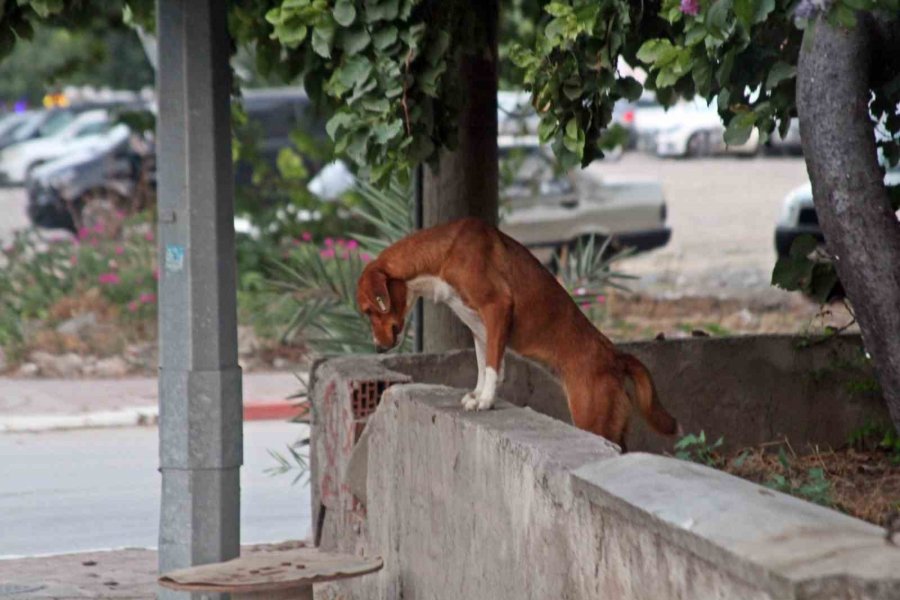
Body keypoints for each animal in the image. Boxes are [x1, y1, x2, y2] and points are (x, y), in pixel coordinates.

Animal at [356, 218, 680, 448]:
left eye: (370, 310)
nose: (377, 348)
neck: (442, 255)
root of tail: (615, 356)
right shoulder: (479, 328)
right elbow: (483, 365)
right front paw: (477, 395)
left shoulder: (497, 306)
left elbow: (491, 367)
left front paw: (486, 401)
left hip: (593, 419)